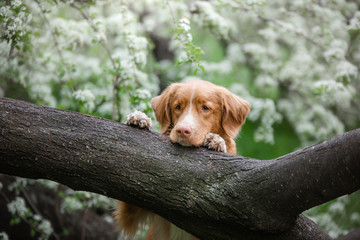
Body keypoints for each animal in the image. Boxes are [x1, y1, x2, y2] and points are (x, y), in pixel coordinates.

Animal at [115, 79, 250, 239]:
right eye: (177, 107)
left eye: (205, 108)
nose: (182, 130)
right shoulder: (132, 211)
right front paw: (139, 118)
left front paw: (216, 140)